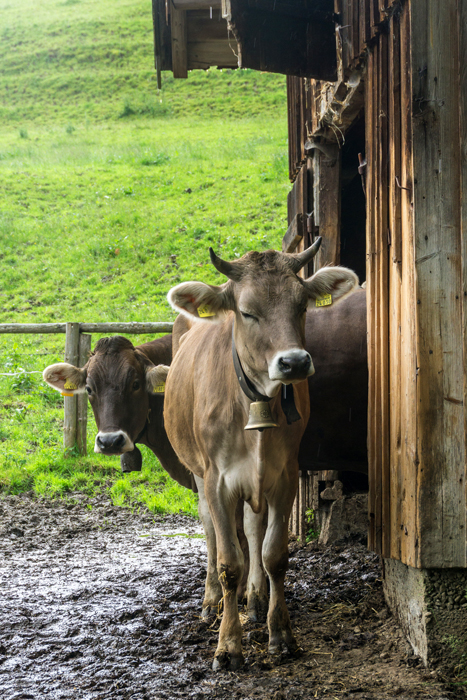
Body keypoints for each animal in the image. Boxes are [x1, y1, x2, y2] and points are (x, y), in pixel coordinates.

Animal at [162, 243, 358, 668]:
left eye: (301, 306)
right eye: (247, 312)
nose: (294, 362)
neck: (256, 403)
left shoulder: (285, 476)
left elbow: (273, 554)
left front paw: (280, 633)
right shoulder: (217, 480)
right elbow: (228, 562)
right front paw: (228, 645)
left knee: (252, 529)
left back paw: (254, 601)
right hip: (198, 470)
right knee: (210, 531)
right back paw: (211, 604)